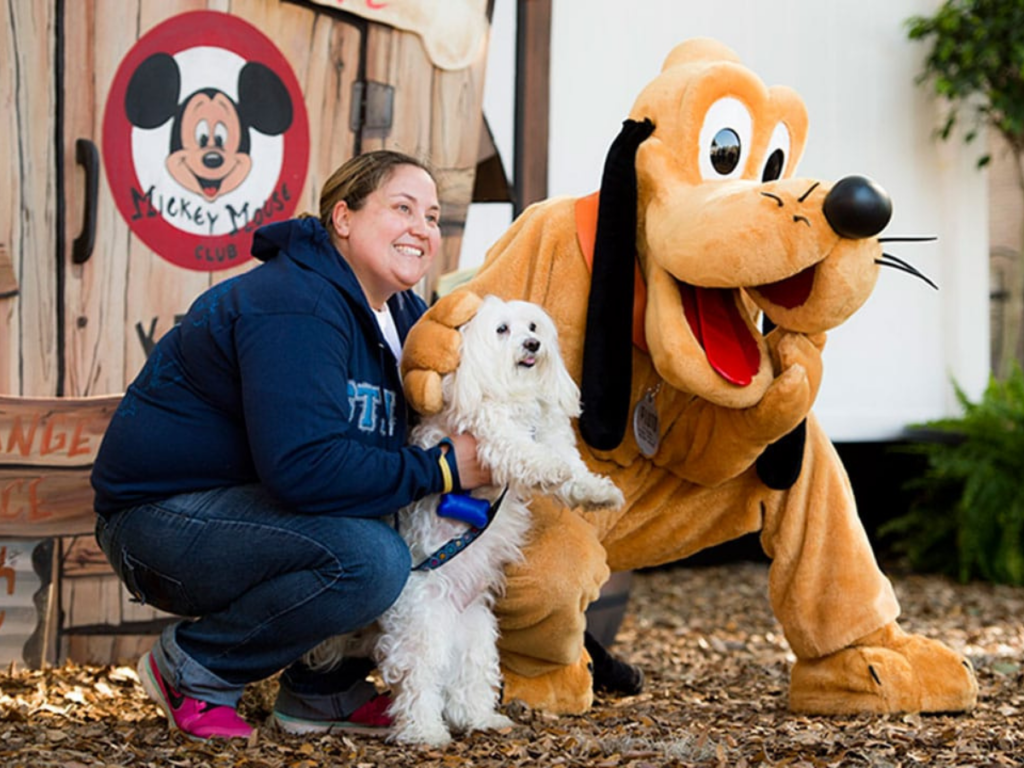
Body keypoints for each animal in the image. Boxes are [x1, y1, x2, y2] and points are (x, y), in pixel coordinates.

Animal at [307, 292, 618, 745]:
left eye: (533, 327)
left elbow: (573, 470)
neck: (515, 393)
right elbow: (525, 452)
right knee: (419, 681)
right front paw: (550, 466)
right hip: (422, 628)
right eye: (502, 330)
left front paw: (600, 492)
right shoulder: (489, 436)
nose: (532, 345)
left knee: (468, 681)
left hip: (476, 632)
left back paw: (481, 718)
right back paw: (425, 732)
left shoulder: (552, 433)